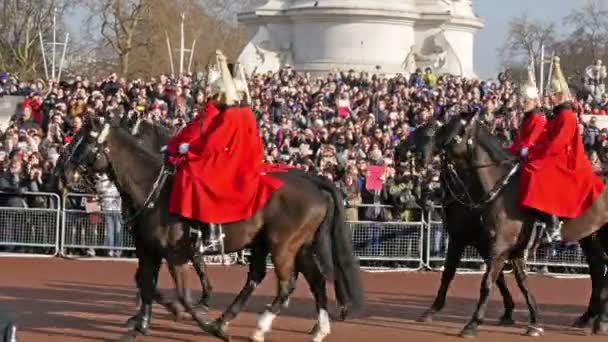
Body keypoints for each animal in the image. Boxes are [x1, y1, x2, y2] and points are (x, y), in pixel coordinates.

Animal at [59, 117, 364, 342]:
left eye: (83, 142)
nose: (61, 175)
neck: (155, 190)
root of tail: (314, 184)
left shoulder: (175, 256)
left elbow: (182, 294)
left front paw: (196, 318)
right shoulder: (148, 251)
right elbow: (145, 283)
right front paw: (140, 324)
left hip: (283, 247)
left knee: (286, 285)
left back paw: (257, 326)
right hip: (286, 246)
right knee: (306, 280)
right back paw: (313, 327)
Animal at [418, 113, 608, 336]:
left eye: (456, 129)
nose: (422, 157)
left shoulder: (491, 244)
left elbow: (487, 281)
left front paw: (473, 322)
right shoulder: (503, 247)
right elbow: (519, 281)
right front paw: (533, 320)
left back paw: (600, 320)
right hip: (589, 237)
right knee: (598, 270)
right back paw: (589, 318)